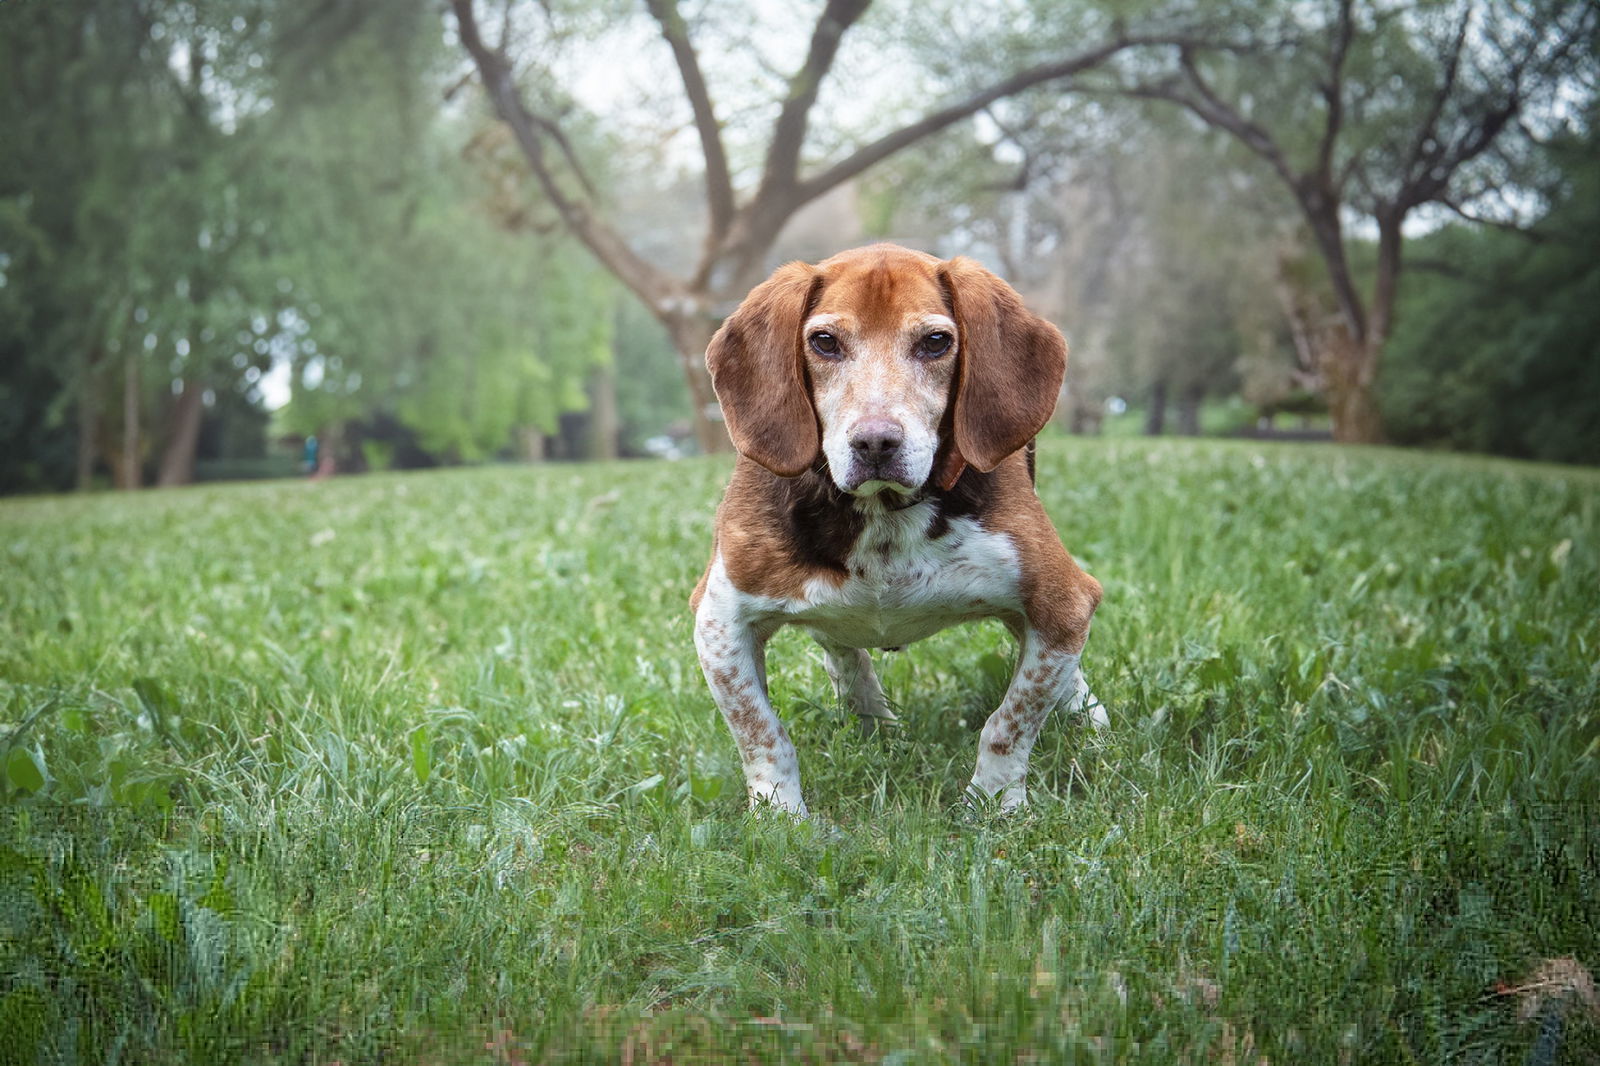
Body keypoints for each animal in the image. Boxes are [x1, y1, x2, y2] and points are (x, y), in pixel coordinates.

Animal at [694, 240, 1107, 813]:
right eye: (824, 342)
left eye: (935, 342)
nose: (875, 442)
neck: (882, 515)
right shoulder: (718, 621)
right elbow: (761, 733)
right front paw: (782, 816)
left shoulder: (1063, 602)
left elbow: (1009, 722)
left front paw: (994, 803)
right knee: (839, 650)